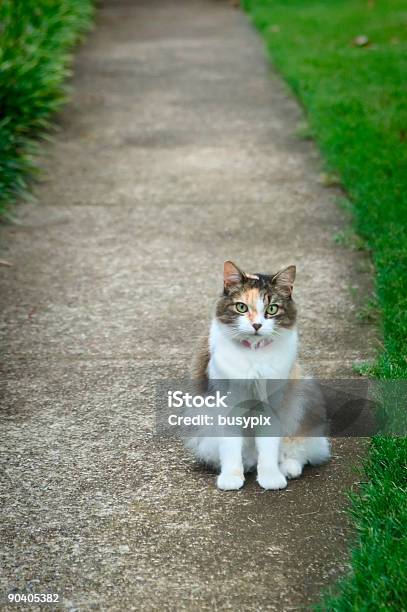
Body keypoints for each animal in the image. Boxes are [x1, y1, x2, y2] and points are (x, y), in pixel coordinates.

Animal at [187, 260, 332, 490]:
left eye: (272, 309)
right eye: (242, 307)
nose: (256, 325)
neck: (254, 354)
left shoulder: (272, 404)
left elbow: (269, 447)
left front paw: (271, 478)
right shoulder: (228, 405)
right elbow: (230, 447)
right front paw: (232, 478)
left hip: (301, 397)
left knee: (301, 449)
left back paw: (288, 468)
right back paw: (247, 464)